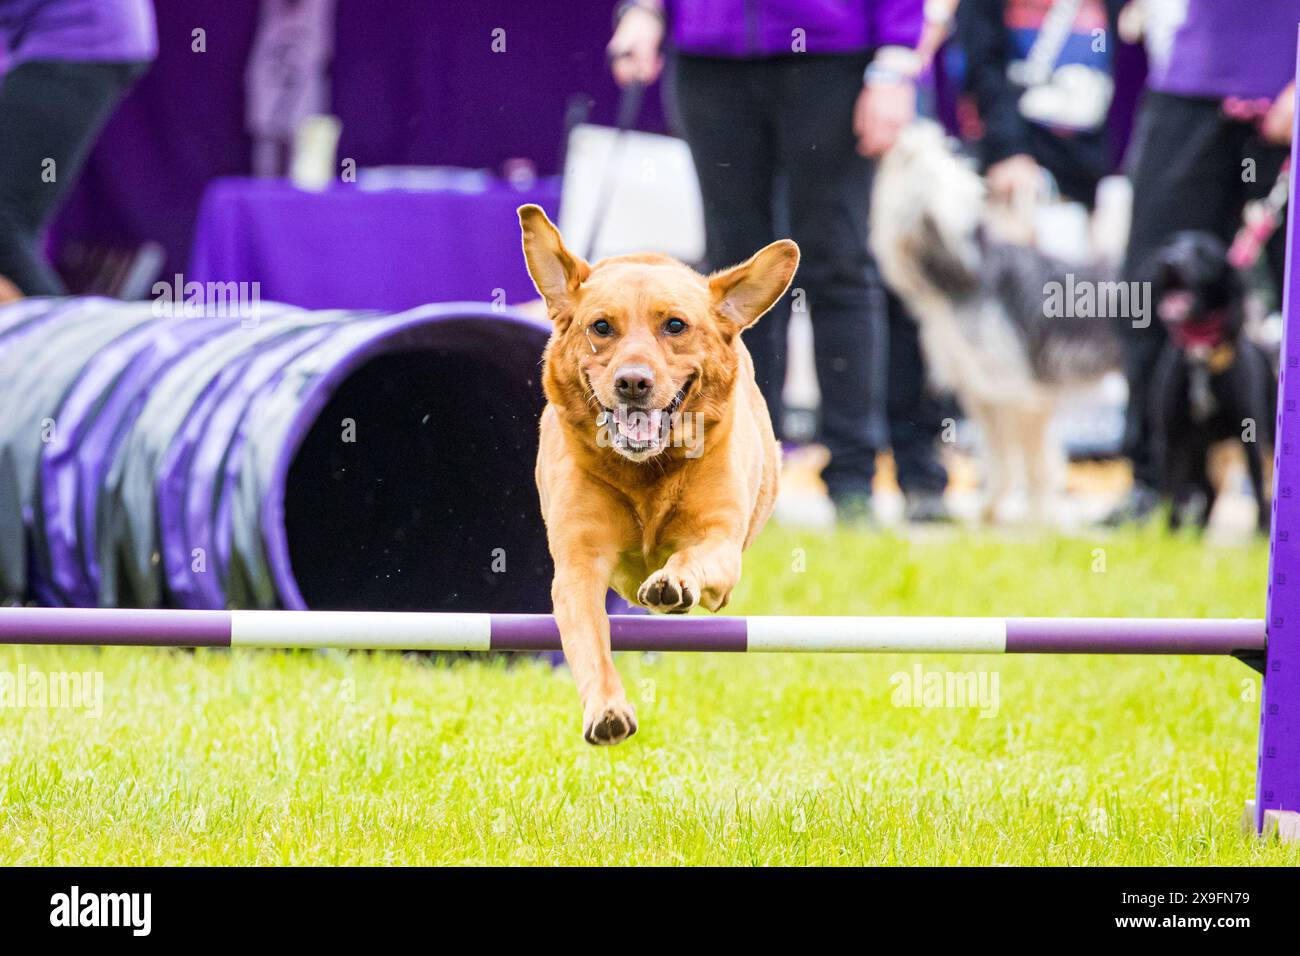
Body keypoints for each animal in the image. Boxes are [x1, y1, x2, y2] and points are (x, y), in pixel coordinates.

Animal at [873, 124, 1128, 528]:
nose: (905, 130)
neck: (968, 272)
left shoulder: (1024, 396)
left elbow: (1037, 467)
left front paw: (1040, 521)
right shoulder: (985, 395)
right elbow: (999, 464)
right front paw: (990, 511)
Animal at [1149, 231, 1268, 530]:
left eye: (1202, 253)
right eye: (1170, 244)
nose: (1168, 261)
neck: (1201, 352)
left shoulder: (1251, 435)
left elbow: (1259, 484)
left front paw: (1263, 531)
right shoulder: (1171, 437)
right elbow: (1168, 490)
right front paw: (1168, 531)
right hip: (1200, 455)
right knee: (1204, 490)